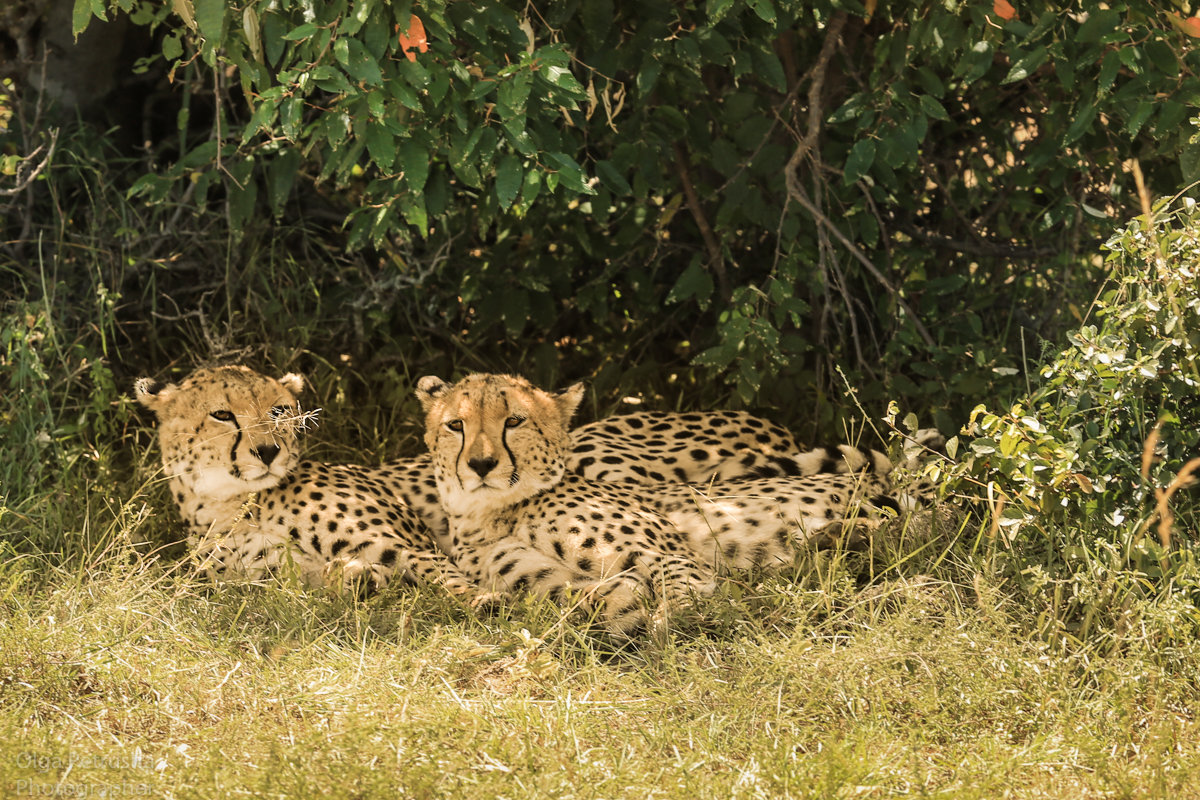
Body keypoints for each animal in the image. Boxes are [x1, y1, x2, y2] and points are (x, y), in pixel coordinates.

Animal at [420, 371, 936, 633]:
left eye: (514, 421)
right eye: (456, 425)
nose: (481, 465)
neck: (495, 512)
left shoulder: (668, 552)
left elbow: (684, 590)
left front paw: (669, 620)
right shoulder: (542, 579)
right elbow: (580, 597)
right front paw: (621, 614)